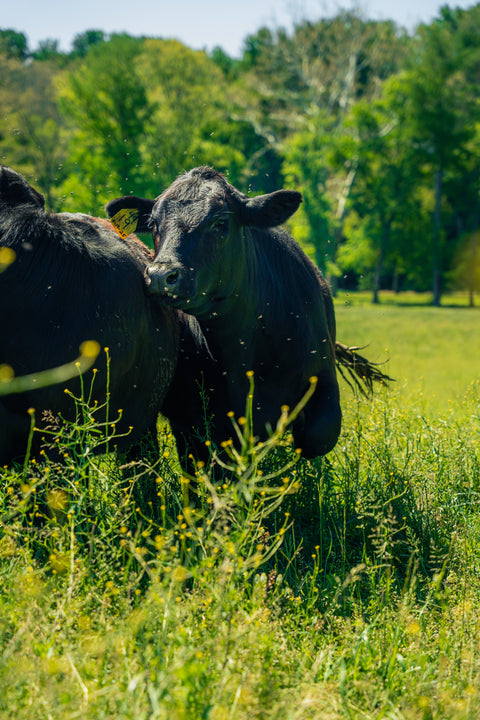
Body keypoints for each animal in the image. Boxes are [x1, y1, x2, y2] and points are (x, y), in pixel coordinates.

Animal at [106, 166, 343, 461]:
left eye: (220, 223)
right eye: (154, 224)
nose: (161, 275)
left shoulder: (323, 378)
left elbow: (316, 436)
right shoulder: (193, 418)